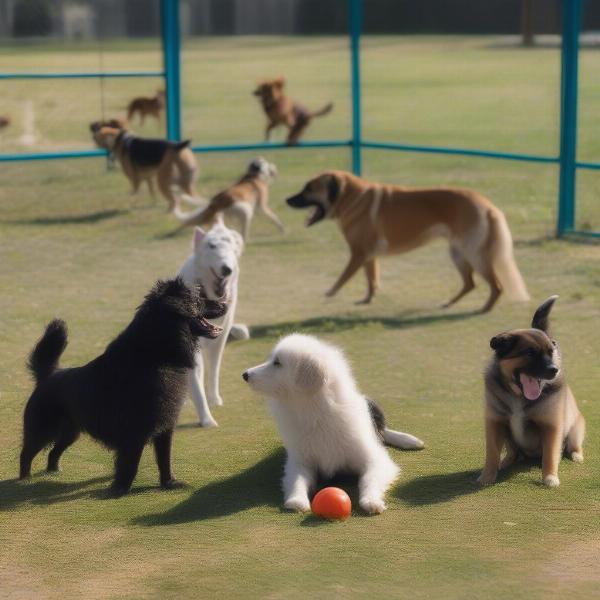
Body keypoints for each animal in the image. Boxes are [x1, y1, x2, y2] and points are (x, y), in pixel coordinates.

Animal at [19, 278, 227, 494]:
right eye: (197, 300)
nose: (225, 303)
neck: (154, 356)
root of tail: (48, 375)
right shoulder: (134, 431)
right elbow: (130, 463)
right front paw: (119, 489)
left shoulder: (165, 426)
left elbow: (165, 459)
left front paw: (169, 483)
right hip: (42, 430)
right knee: (26, 453)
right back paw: (24, 479)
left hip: (70, 432)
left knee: (53, 452)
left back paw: (53, 471)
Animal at [177, 218, 247, 428]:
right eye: (211, 246)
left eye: (231, 246)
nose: (226, 269)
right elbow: (197, 385)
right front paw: (207, 419)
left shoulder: (219, 339)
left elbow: (214, 371)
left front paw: (214, 400)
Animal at [241, 336, 424, 512]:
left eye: (277, 363)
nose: (245, 374)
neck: (315, 413)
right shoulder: (300, 461)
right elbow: (297, 480)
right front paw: (297, 500)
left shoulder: (374, 459)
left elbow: (369, 479)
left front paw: (371, 501)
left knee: (383, 430)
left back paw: (409, 440)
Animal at [284, 169, 528, 310]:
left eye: (309, 188)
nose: (287, 200)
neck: (352, 198)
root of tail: (487, 205)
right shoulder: (369, 256)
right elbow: (372, 280)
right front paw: (367, 300)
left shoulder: (358, 254)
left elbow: (342, 278)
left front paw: (329, 293)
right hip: (458, 253)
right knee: (470, 284)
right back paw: (448, 303)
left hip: (473, 254)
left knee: (496, 286)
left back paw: (484, 308)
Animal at [478, 296, 584, 488]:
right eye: (529, 353)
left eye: (551, 352)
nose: (554, 370)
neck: (518, 397)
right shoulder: (495, 423)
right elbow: (492, 453)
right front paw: (487, 476)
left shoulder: (551, 426)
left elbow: (550, 455)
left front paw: (550, 477)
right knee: (512, 452)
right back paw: (506, 461)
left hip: (576, 429)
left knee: (572, 446)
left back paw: (576, 455)